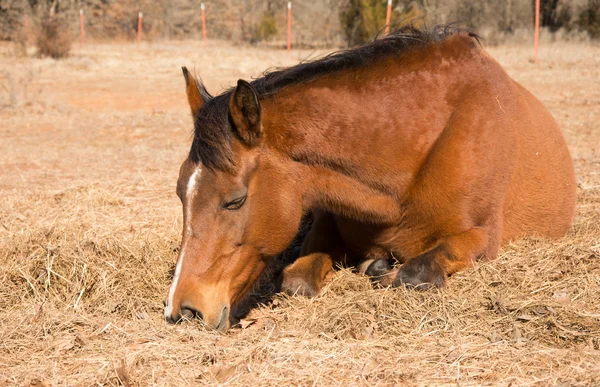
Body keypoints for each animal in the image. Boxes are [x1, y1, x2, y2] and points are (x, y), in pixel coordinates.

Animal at [163, 25, 576, 332]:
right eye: (182, 193)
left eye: (235, 200)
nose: (182, 311)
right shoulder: (324, 221)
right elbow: (296, 281)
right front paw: (370, 265)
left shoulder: (482, 238)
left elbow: (415, 274)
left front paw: (382, 270)